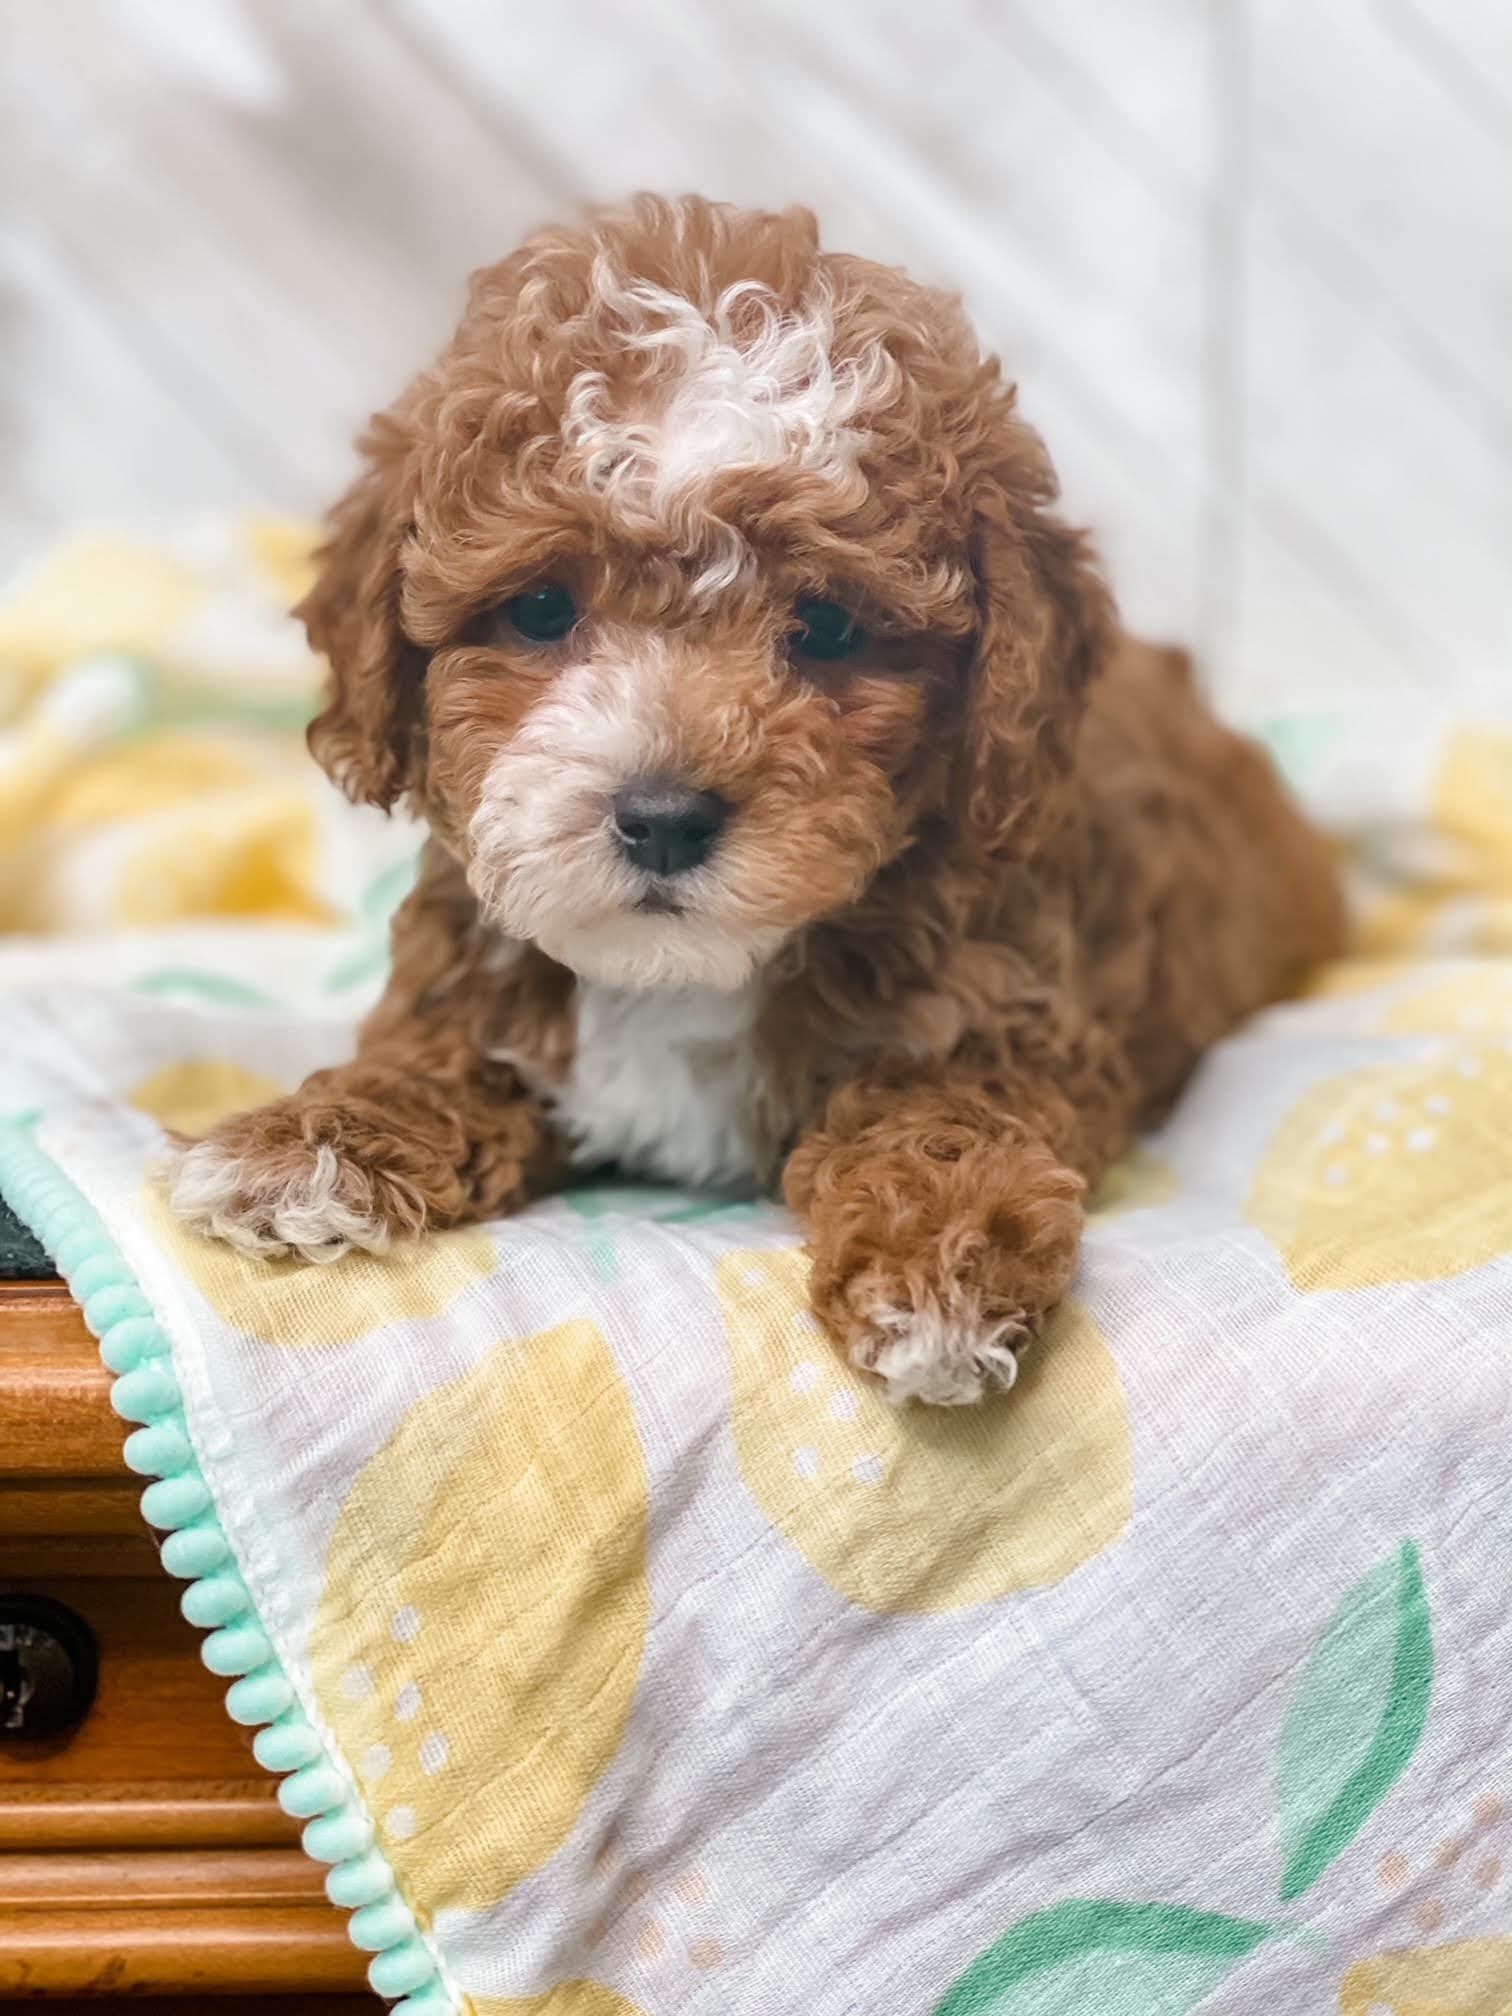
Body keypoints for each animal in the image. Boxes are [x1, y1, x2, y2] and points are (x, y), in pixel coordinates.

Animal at [168, 196, 1346, 1411]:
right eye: (540, 609)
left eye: (827, 627)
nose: (662, 817)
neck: (685, 978)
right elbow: (435, 1058)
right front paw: (315, 1143)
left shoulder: (1013, 1018)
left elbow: (942, 1116)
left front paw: (939, 1270)